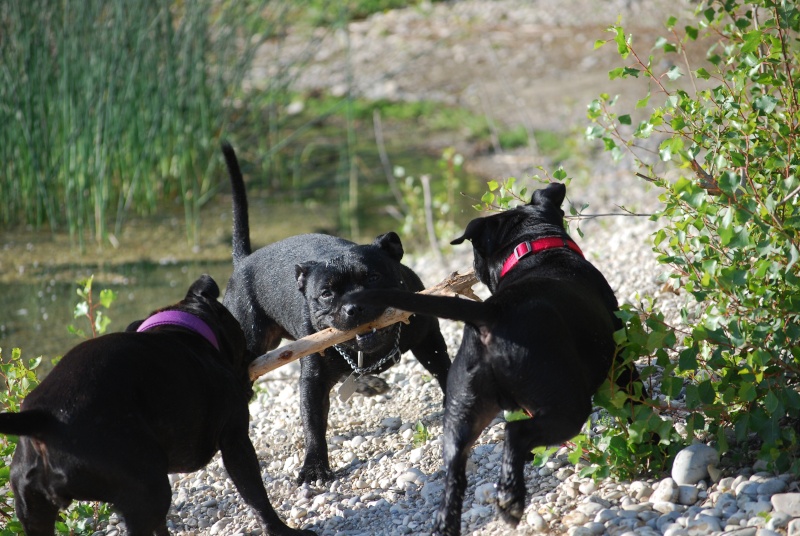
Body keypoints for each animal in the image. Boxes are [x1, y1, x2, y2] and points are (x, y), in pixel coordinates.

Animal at [0, 276, 314, 536]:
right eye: (239, 333)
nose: (251, 352)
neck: (182, 327)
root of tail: (43, 420)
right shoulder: (235, 440)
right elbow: (256, 495)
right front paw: (280, 530)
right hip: (148, 487)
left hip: (34, 511)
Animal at [222, 143, 454, 486]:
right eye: (326, 294)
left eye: (374, 277)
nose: (353, 305)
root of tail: (243, 262)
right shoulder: (313, 382)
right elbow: (314, 424)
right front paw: (315, 466)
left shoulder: (429, 341)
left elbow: (444, 371)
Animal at [346, 182, 644, 532]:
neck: (536, 250)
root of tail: (491, 313)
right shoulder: (622, 362)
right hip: (568, 405)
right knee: (515, 434)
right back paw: (511, 500)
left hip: (461, 412)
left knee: (456, 471)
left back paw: (450, 522)